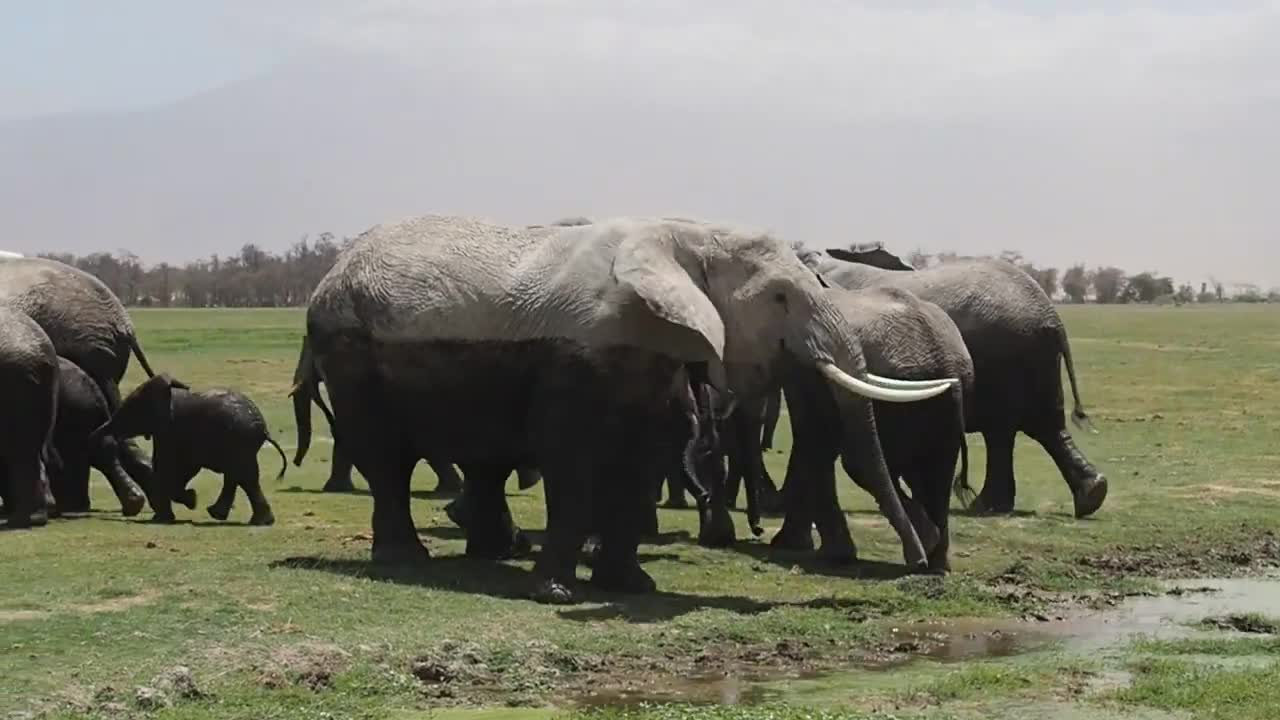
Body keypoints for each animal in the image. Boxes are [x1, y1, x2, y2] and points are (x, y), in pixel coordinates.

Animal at [90, 371, 288, 525]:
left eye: (131, 412)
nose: (91, 437)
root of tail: (263, 429)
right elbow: (183, 469)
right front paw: (189, 501)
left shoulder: (172, 431)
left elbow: (170, 467)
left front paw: (182, 505)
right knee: (238, 475)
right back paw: (228, 516)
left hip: (239, 441)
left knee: (243, 476)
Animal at [798, 242, 1111, 515]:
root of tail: (1053, 318)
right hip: (1032, 358)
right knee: (1040, 427)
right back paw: (1089, 495)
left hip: (1008, 356)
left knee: (1006, 431)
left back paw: (987, 506)